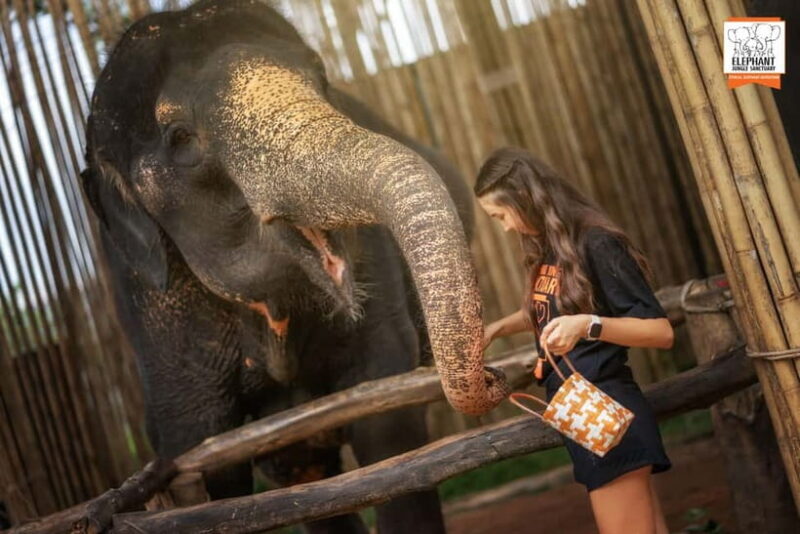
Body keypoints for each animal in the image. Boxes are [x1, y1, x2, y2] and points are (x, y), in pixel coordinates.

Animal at [79, 0, 508, 532]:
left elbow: (386, 417)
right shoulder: (154, 310)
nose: (493, 376)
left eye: (322, 78)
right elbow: (200, 455)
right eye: (179, 138)